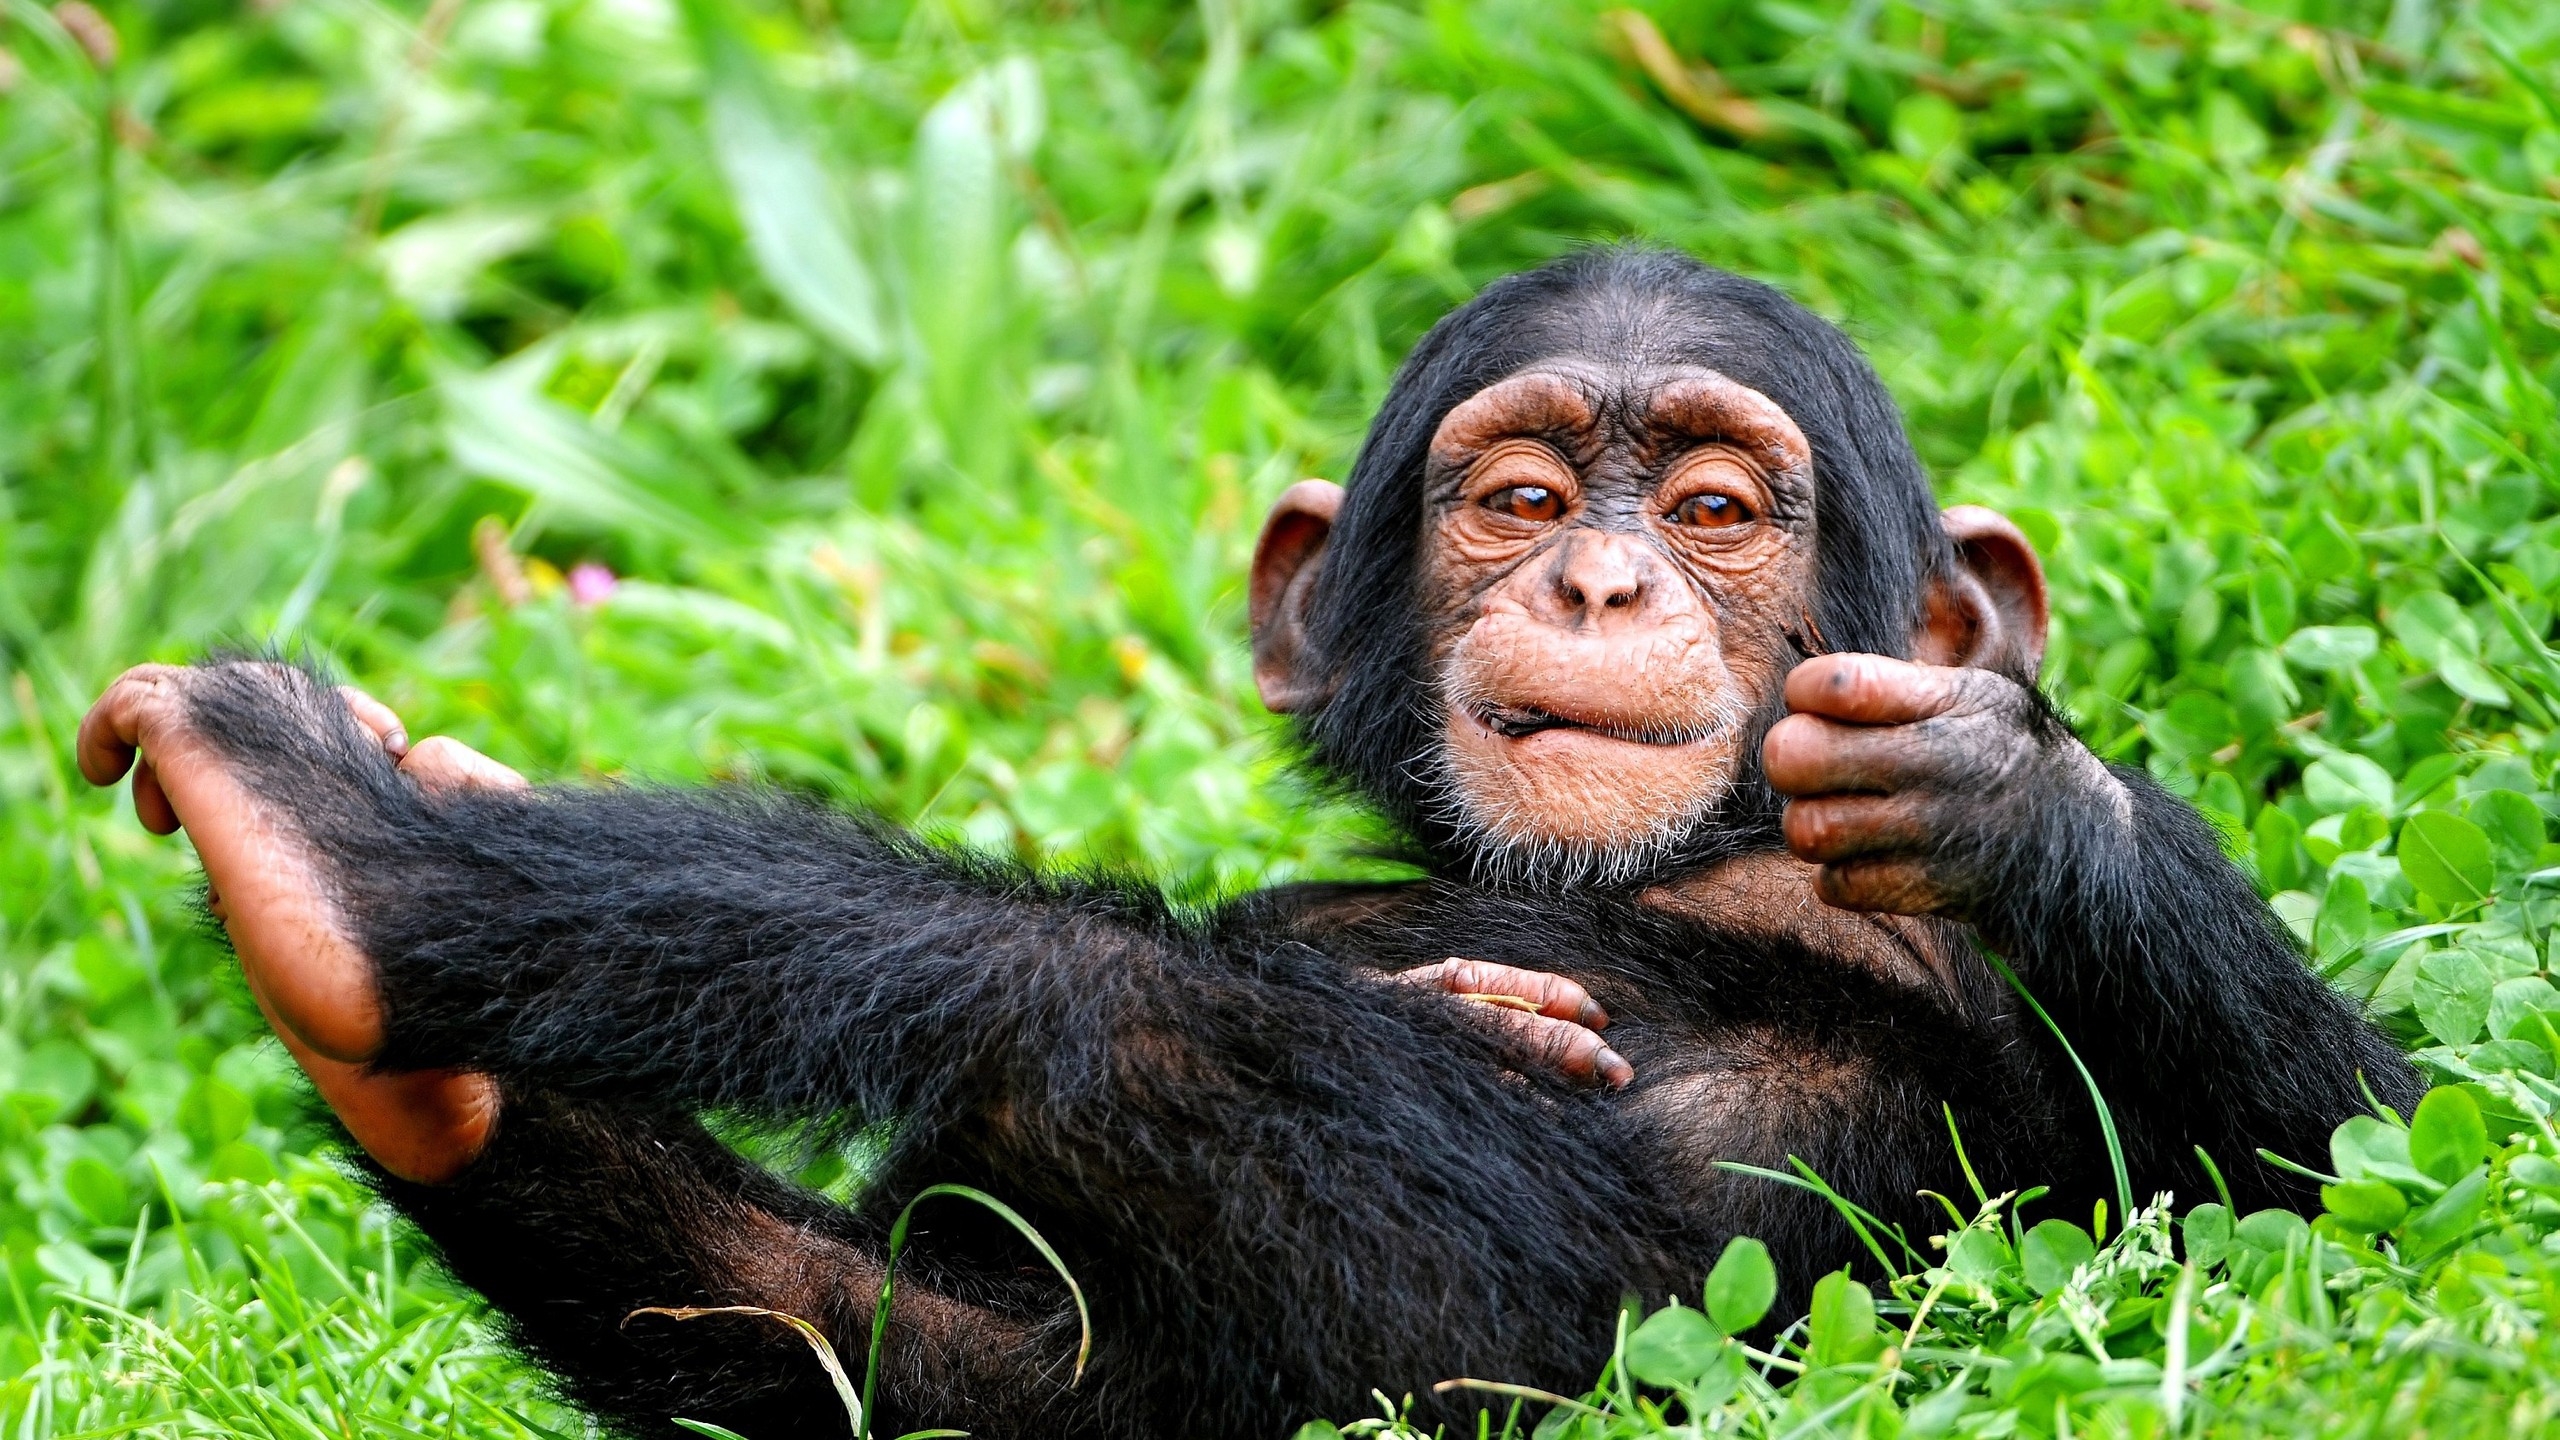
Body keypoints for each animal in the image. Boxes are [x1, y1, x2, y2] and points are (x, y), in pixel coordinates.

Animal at [70, 245, 2406, 1434]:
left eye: (1721, 508)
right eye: (1523, 499)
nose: (1603, 582)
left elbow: (2331, 1159)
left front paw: (2022, 793)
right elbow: (986, 1373)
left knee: (1093, 991)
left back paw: (353, 863)